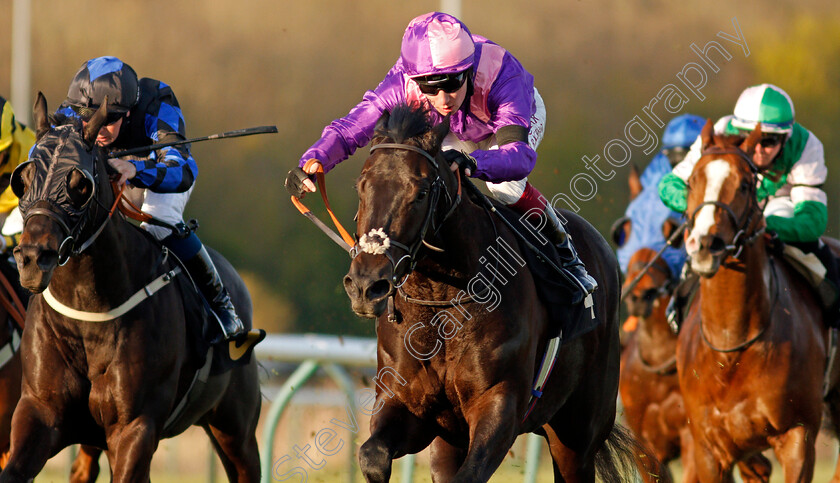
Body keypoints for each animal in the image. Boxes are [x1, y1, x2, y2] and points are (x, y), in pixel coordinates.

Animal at [0, 92, 260, 482]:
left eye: (80, 183)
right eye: (25, 178)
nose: (33, 258)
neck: (88, 316)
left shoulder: (135, 427)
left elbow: (178, 160)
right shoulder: (39, 412)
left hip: (236, 429)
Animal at [342, 104, 656, 482]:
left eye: (420, 192)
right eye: (361, 187)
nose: (366, 285)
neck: (440, 301)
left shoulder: (499, 404)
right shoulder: (408, 405)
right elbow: (372, 455)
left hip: (579, 433)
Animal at [676, 122, 840, 483]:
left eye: (745, 184)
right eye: (692, 180)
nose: (706, 244)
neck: (732, 345)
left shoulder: (798, 437)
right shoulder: (709, 447)